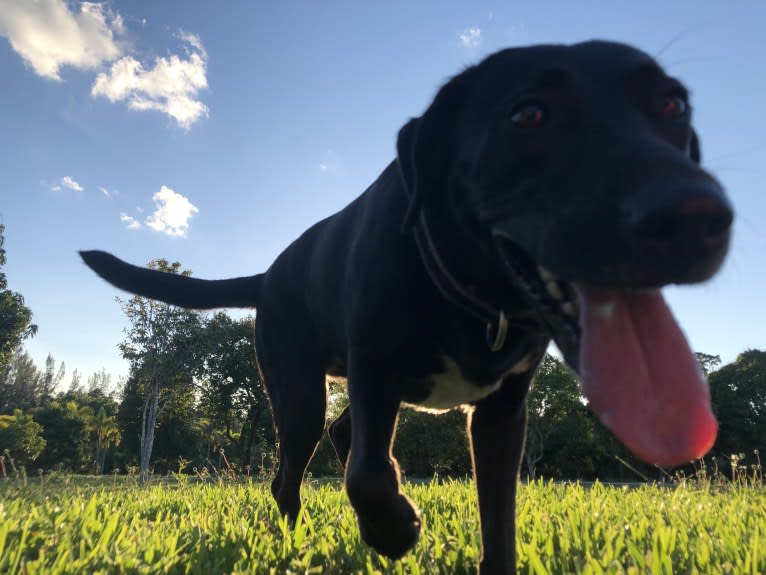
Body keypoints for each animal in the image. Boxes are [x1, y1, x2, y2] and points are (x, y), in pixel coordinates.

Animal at [81, 41, 736, 575]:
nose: (697, 215)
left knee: (342, 436)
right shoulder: (375, 367)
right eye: (528, 114)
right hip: (299, 393)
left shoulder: (502, 412)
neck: (468, 296)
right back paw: (298, 539)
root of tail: (267, 276)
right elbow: (367, 475)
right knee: (292, 475)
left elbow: (498, 521)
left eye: (673, 105)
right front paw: (396, 530)